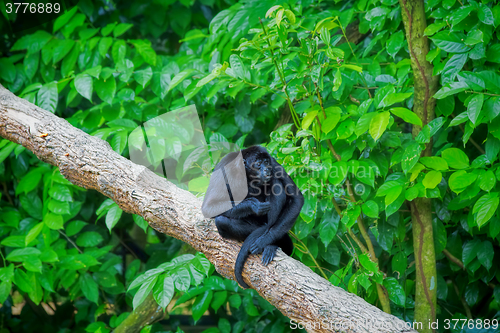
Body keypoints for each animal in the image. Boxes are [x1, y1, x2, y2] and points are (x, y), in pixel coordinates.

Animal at [200, 145, 302, 288]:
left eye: (266, 162)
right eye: (258, 164)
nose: (267, 169)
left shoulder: (274, 163)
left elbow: (297, 199)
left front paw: (264, 241)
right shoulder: (224, 167)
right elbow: (208, 207)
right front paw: (252, 205)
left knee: (275, 182)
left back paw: (270, 243)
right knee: (221, 220)